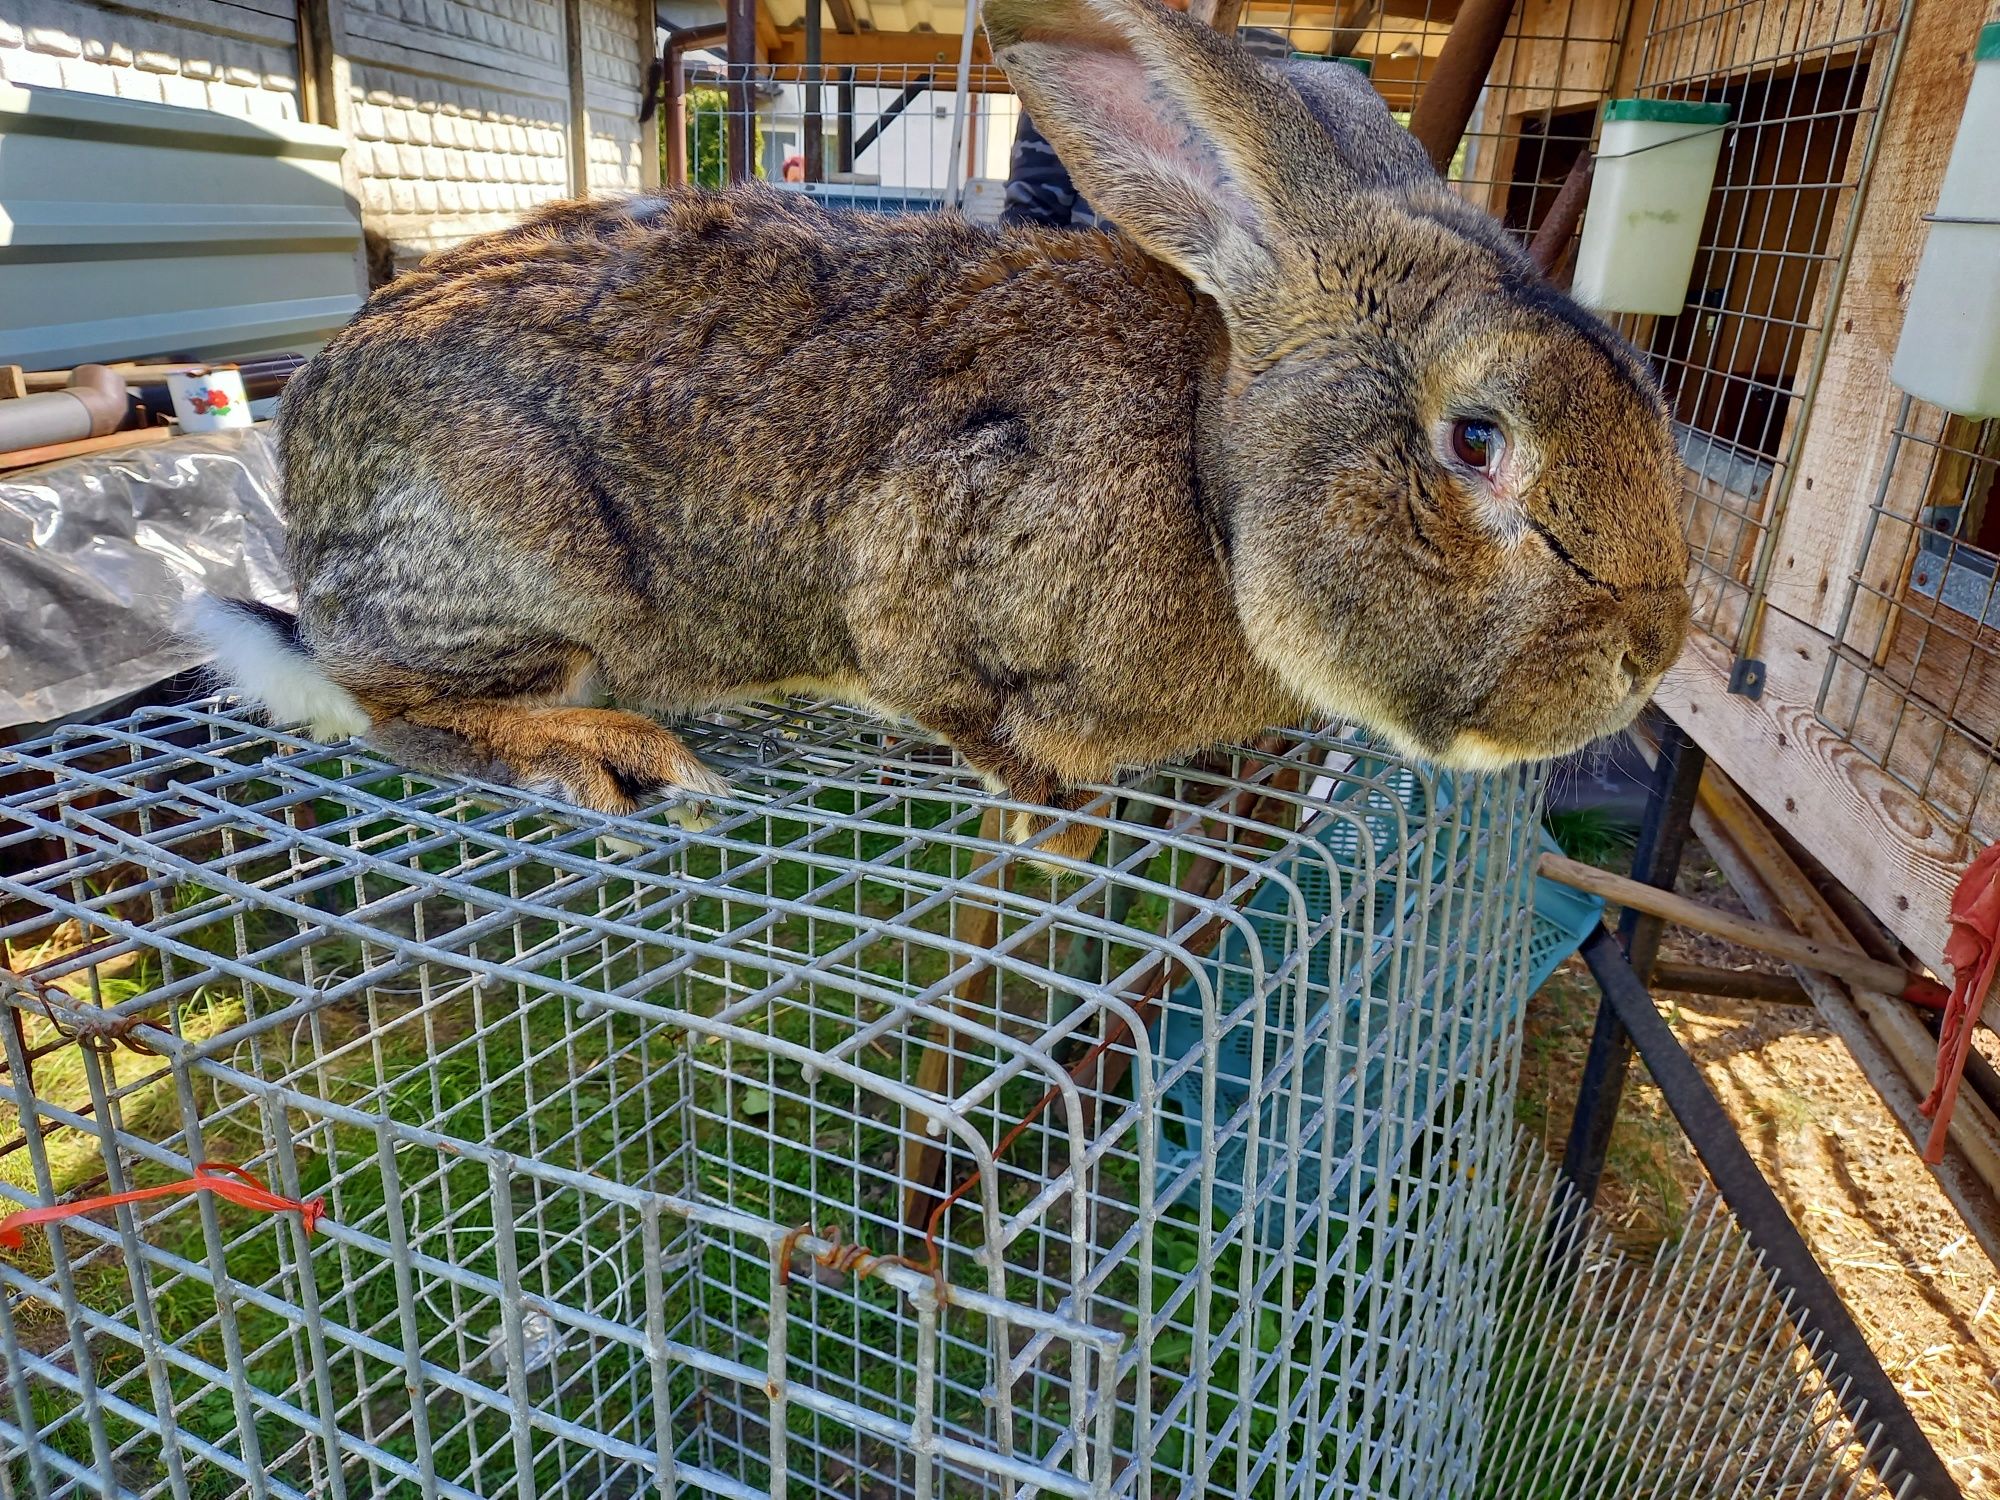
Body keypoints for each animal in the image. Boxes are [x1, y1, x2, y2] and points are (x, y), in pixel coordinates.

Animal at [188, 0, 1688, 868]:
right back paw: (603, 755)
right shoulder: (924, 557)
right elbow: (944, 695)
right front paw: (1047, 807)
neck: (1210, 480)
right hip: (522, 577)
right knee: (397, 709)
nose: (1653, 653)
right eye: (1477, 443)